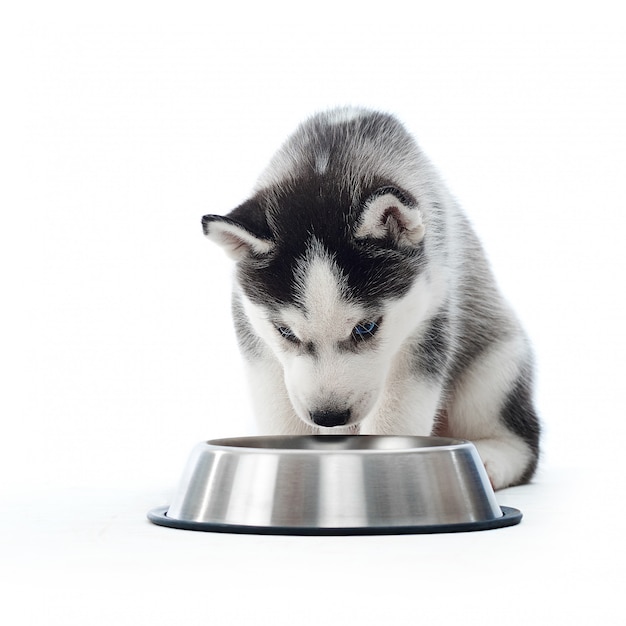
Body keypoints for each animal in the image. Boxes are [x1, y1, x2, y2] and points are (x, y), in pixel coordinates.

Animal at [202, 107, 540, 488]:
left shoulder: (427, 320)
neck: (329, 160)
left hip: (498, 366)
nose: (329, 416)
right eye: (285, 332)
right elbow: (278, 409)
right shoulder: (254, 332)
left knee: (522, 443)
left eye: (366, 328)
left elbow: (396, 417)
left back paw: (490, 459)